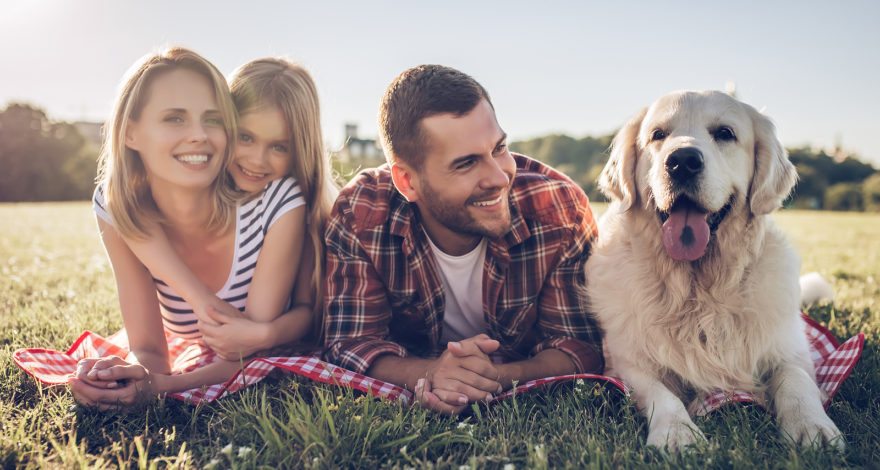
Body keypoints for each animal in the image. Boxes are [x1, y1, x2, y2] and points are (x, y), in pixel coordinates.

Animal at [584, 90, 844, 450]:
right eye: (657, 135)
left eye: (725, 133)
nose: (682, 161)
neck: (698, 289)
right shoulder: (627, 362)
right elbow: (661, 393)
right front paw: (677, 432)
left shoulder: (791, 349)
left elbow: (797, 380)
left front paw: (811, 425)